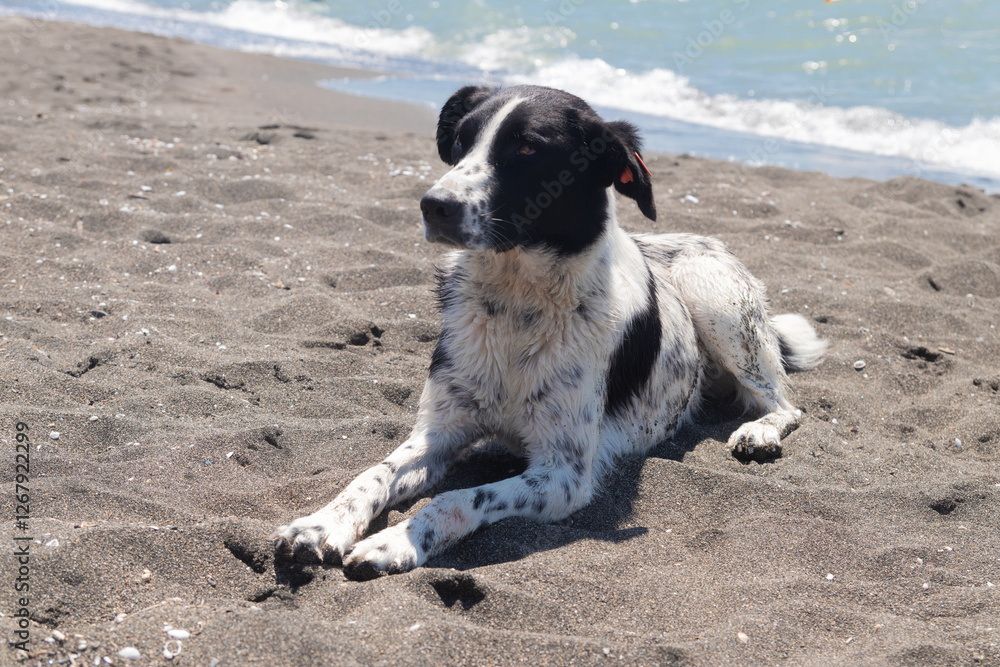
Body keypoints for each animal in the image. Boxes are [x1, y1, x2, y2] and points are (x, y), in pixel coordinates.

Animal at [273, 85, 826, 580]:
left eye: (527, 149)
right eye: (461, 141)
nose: (433, 204)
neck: (517, 305)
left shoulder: (564, 475)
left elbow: (459, 496)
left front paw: (395, 541)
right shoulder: (438, 432)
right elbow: (374, 474)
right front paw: (322, 525)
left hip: (715, 297)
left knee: (785, 403)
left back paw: (759, 431)